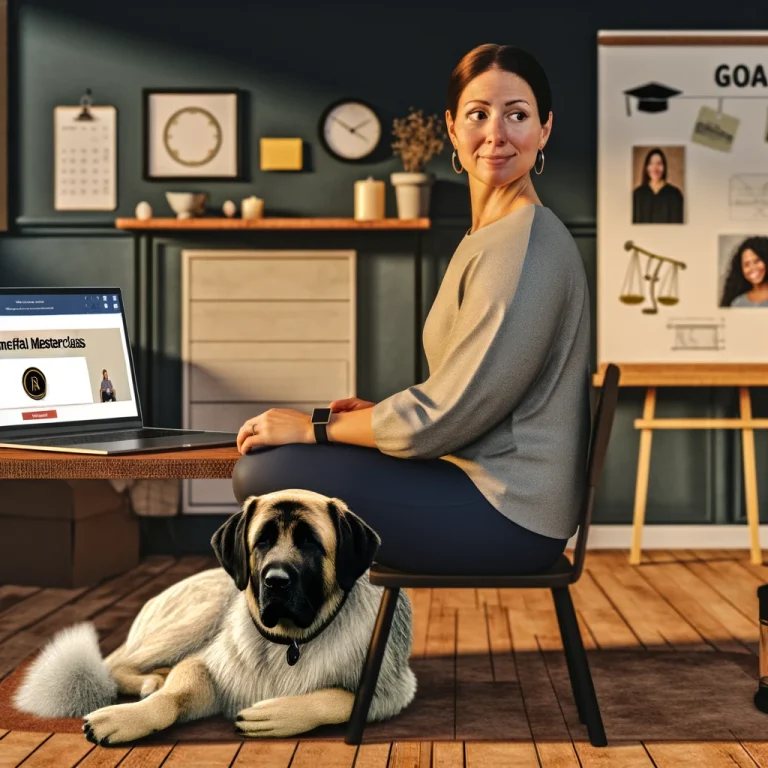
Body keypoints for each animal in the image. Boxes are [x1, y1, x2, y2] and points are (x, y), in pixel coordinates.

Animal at [12, 488, 416, 748]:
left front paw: (275, 714)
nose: (275, 580)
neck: (291, 642)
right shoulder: (205, 666)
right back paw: (150, 682)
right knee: (117, 665)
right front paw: (127, 717)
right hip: (195, 621)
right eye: (262, 541)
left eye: (310, 543)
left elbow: (342, 697)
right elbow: (173, 696)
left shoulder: (390, 687)